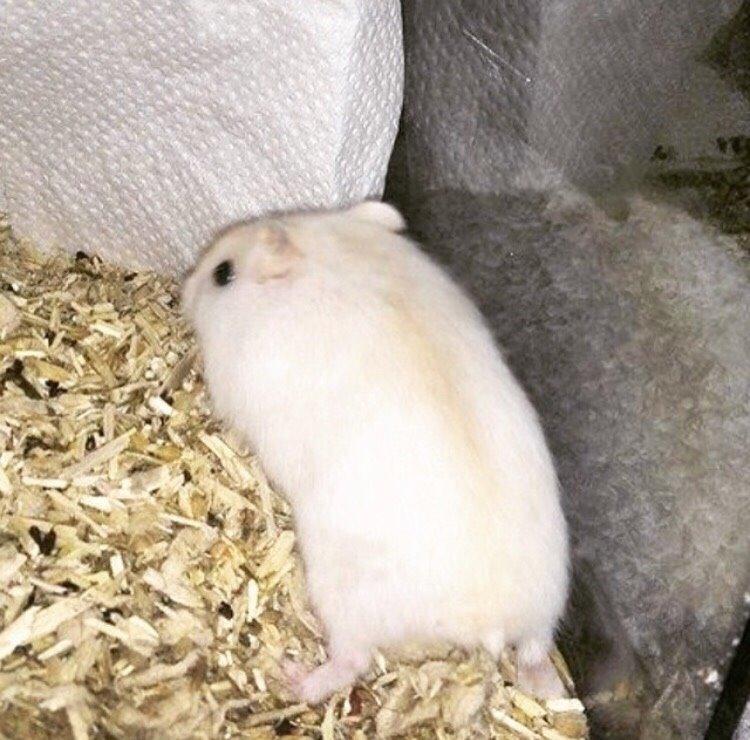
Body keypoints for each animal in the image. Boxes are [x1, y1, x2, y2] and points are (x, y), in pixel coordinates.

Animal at [181, 201, 570, 703]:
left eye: (222, 273)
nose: (182, 287)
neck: (327, 257)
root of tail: (493, 624)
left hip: (342, 595)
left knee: (352, 661)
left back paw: (291, 676)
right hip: (546, 604)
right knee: (536, 654)